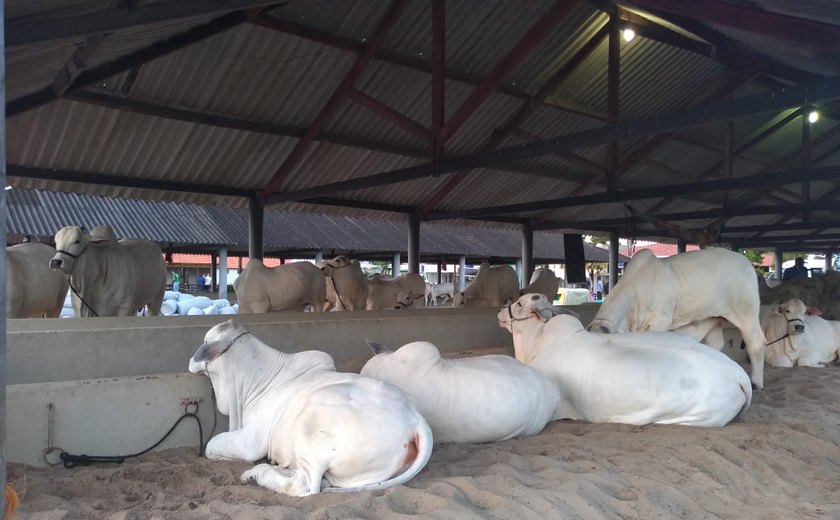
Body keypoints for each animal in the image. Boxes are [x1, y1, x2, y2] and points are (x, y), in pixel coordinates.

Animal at [189, 320, 434, 496]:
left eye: (204, 340)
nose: (191, 359)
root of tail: (416, 420)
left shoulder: (251, 441)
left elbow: (211, 445)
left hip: (312, 419)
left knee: (306, 484)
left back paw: (256, 475)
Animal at [588, 249, 764, 390]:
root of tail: (748, 264)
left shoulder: (660, 321)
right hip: (713, 317)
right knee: (716, 344)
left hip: (746, 315)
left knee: (756, 343)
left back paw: (756, 383)